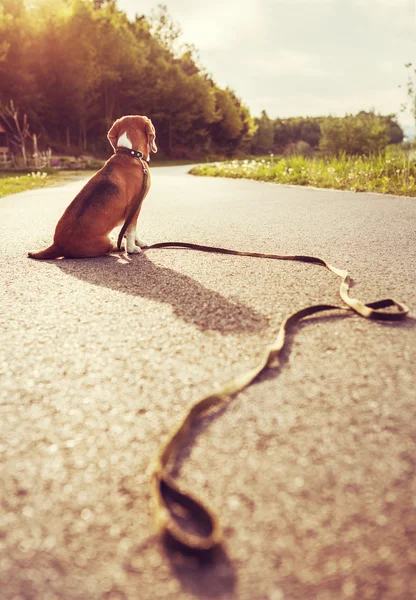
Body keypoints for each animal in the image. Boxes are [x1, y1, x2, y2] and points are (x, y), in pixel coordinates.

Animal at [28, 115, 158, 260]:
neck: (130, 153)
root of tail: (57, 245)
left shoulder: (135, 209)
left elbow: (132, 230)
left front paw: (138, 243)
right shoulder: (135, 206)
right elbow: (131, 230)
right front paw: (131, 248)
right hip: (105, 241)